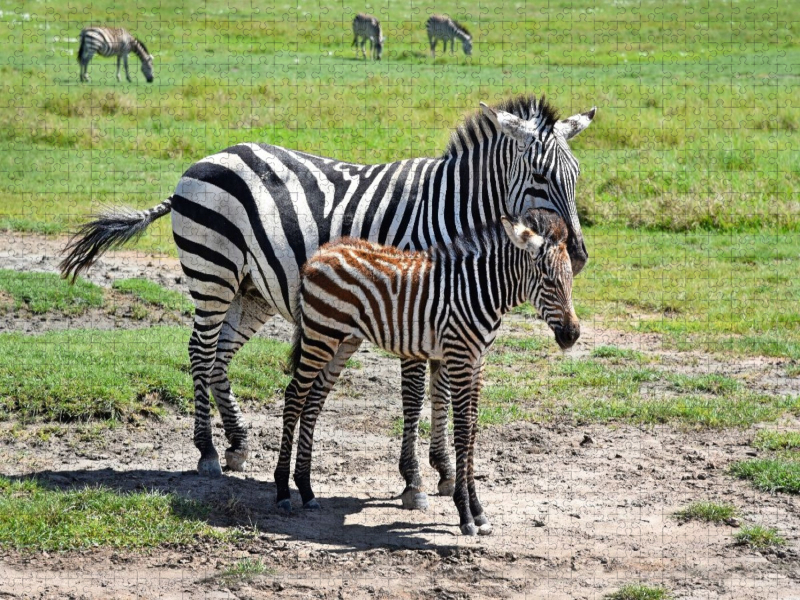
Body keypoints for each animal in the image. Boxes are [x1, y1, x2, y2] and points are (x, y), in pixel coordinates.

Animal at [278, 208, 579, 535]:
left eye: (570, 280)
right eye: (548, 279)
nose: (572, 335)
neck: (480, 292)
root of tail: (322, 252)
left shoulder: (478, 362)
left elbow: (473, 429)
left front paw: (479, 511)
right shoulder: (459, 356)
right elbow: (462, 430)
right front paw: (465, 513)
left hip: (343, 341)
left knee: (313, 402)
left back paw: (306, 489)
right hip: (320, 335)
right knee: (294, 396)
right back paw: (283, 492)